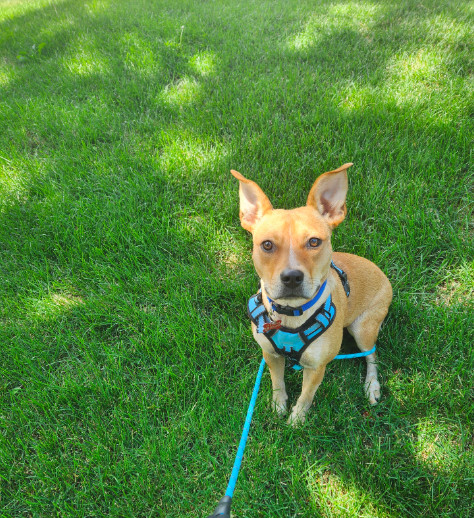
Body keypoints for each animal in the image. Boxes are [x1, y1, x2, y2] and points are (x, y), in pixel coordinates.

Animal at [231, 164, 392, 426]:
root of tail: (381, 273)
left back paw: (372, 386)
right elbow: (277, 382)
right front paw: (279, 405)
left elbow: (306, 396)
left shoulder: (317, 367)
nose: (292, 277)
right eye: (267, 245)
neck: (290, 314)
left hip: (363, 329)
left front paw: (296, 421)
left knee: (372, 355)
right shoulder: (270, 354)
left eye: (314, 241)